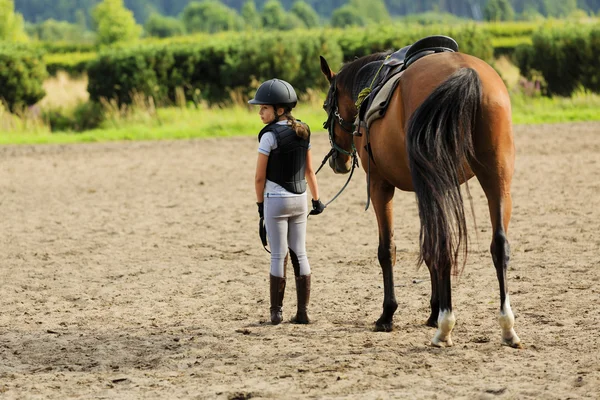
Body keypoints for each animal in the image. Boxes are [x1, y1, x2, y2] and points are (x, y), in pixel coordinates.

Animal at [322, 43, 524, 346]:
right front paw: (433, 310)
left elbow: (388, 249)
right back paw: (506, 327)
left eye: (326, 106)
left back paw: (445, 327)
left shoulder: (380, 185)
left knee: (444, 245)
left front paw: (388, 315)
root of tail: (465, 72)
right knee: (499, 245)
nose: (338, 161)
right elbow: (429, 250)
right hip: (497, 179)